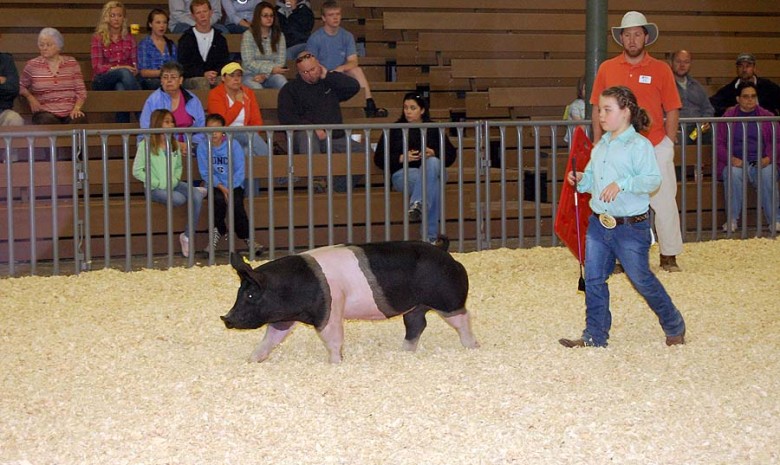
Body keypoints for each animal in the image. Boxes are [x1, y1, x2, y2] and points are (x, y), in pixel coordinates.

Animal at [218, 239, 476, 362]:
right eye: (240, 292)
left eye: (251, 295)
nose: (226, 318)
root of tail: (446, 253)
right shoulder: (283, 319)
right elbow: (271, 338)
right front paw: (252, 360)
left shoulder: (330, 310)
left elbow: (332, 338)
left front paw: (335, 363)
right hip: (415, 306)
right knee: (417, 324)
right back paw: (404, 352)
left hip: (447, 300)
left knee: (463, 319)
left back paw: (472, 347)